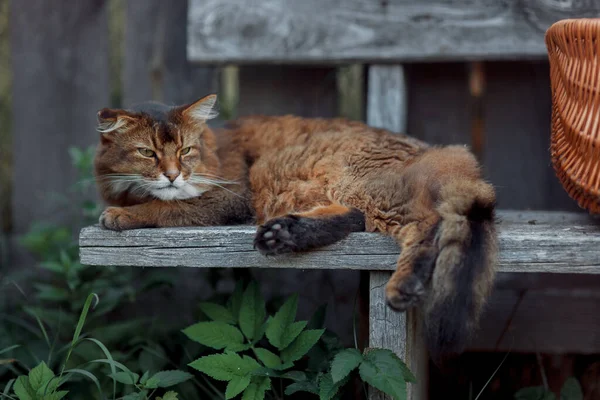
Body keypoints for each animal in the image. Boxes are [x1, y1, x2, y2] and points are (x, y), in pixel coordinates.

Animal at [94, 94, 496, 360]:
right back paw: (285, 233)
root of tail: (438, 153)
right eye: (147, 153)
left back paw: (404, 285)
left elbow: (167, 206)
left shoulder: (230, 196)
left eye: (185, 151)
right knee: (355, 217)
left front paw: (123, 214)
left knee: (425, 223)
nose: (173, 174)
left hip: (353, 182)